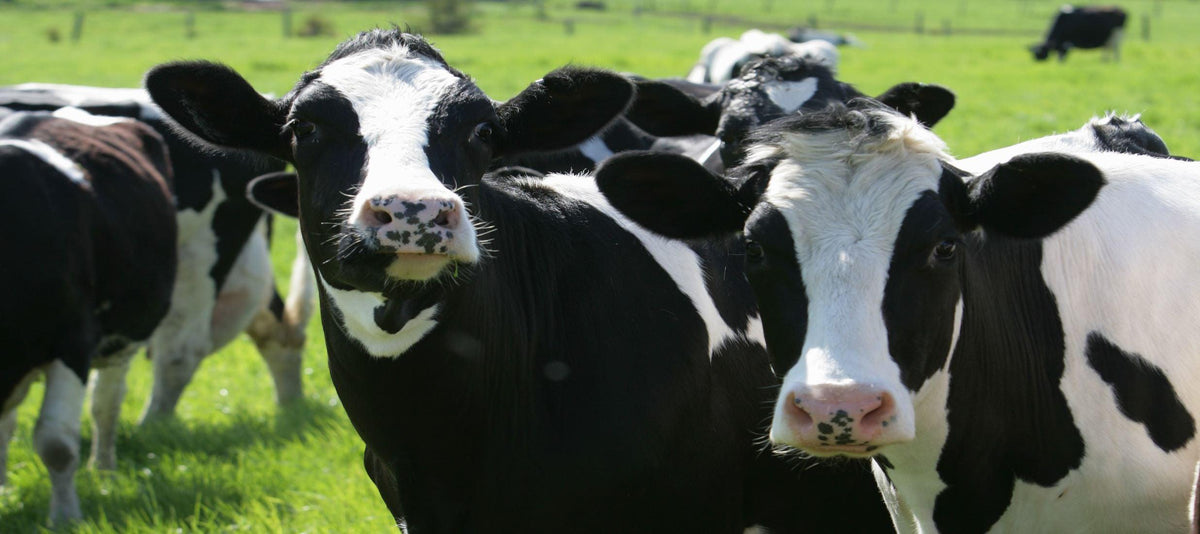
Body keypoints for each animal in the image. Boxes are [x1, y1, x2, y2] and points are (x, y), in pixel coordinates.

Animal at [0, 108, 177, 523]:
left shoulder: (73, 341)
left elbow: (56, 443)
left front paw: (65, 518)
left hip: (122, 340)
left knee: (106, 405)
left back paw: (104, 468)